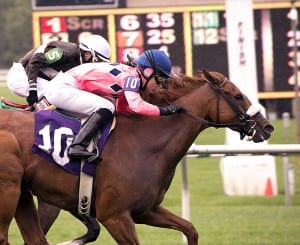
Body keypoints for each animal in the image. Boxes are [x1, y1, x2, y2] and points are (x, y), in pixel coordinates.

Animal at [0, 70, 274, 244]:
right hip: (10, 192)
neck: (145, 142)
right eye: (236, 95)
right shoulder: (115, 216)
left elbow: (190, 229)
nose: (267, 127)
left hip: (23, 194)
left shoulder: (146, 210)